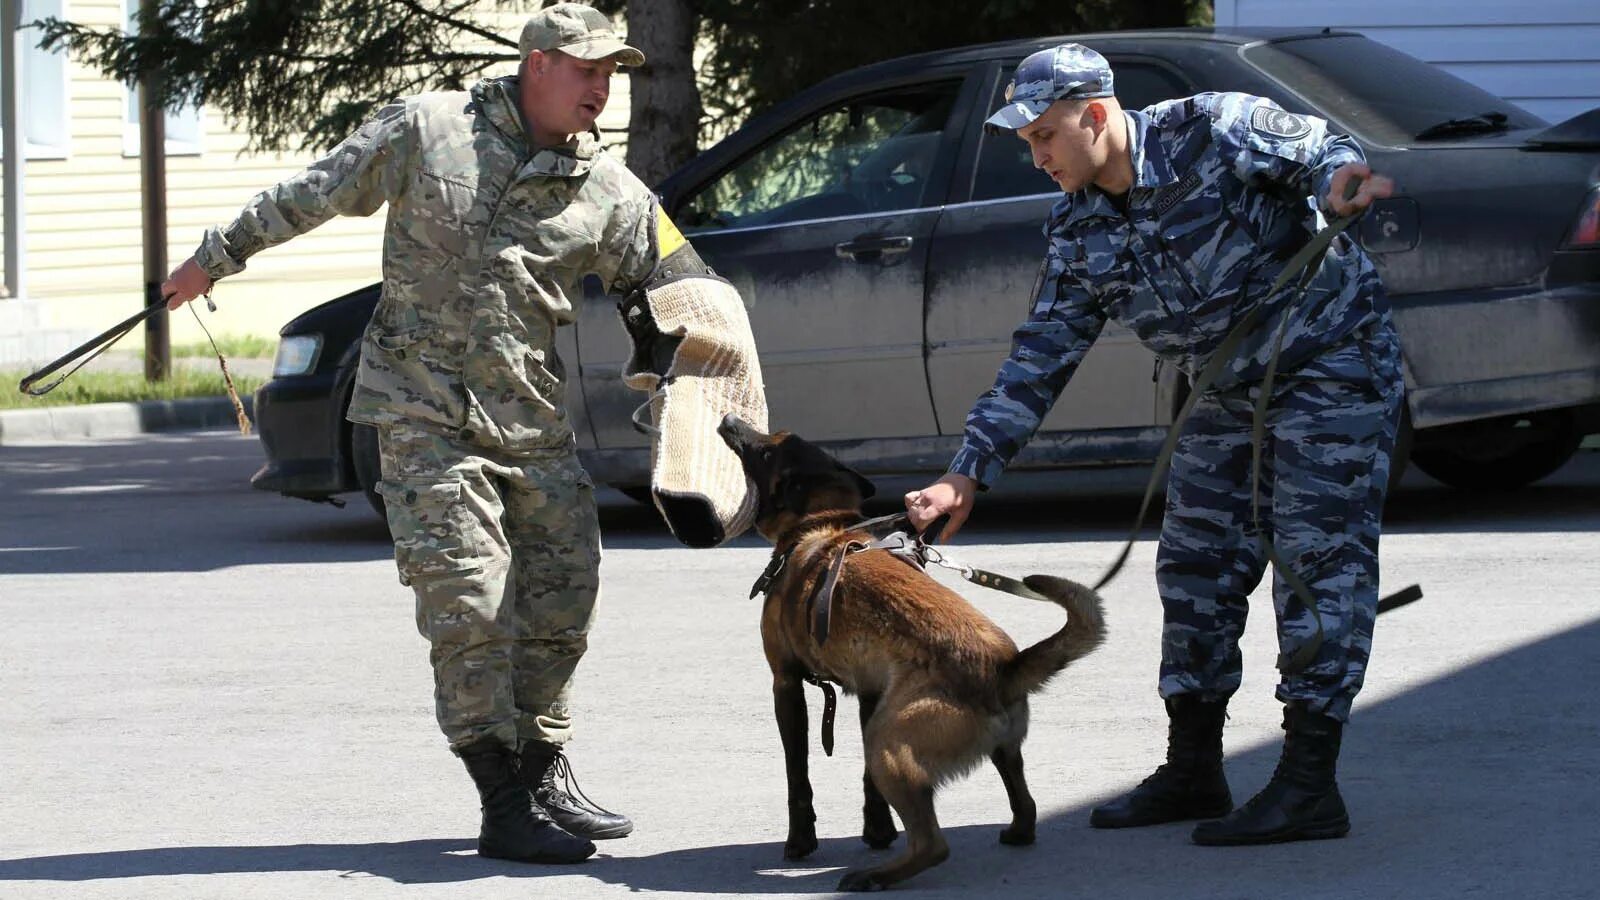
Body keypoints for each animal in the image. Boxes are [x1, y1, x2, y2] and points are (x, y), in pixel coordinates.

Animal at [720, 416, 1107, 890]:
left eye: (766, 450)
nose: (729, 421)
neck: (821, 527)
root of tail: (1002, 671)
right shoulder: (869, 692)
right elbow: (867, 788)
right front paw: (878, 831)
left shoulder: (786, 685)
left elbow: (799, 776)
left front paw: (800, 843)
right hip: (969, 744)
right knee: (1025, 802)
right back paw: (1015, 832)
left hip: (887, 743)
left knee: (932, 845)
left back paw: (874, 876)